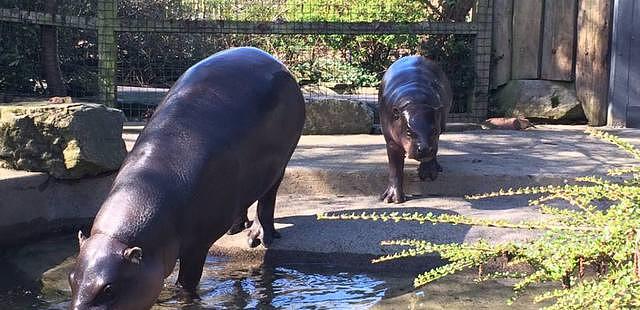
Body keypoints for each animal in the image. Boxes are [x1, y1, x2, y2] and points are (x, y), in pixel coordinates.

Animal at [67, 46, 304, 310]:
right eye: (71, 278)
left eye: (109, 289)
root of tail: (273, 60)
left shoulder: (197, 245)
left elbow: (186, 283)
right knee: (244, 200)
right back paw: (235, 229)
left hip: (282, 160)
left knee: (268, 198)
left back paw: (259, 237)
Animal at [378, 55, 452, 203]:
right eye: (408, 132)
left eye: (434, 131)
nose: (424, 149)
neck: (415, 101)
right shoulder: (391, 141)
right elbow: (395, 168)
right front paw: (392, 199)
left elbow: (430, 156)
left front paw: (428, 175)